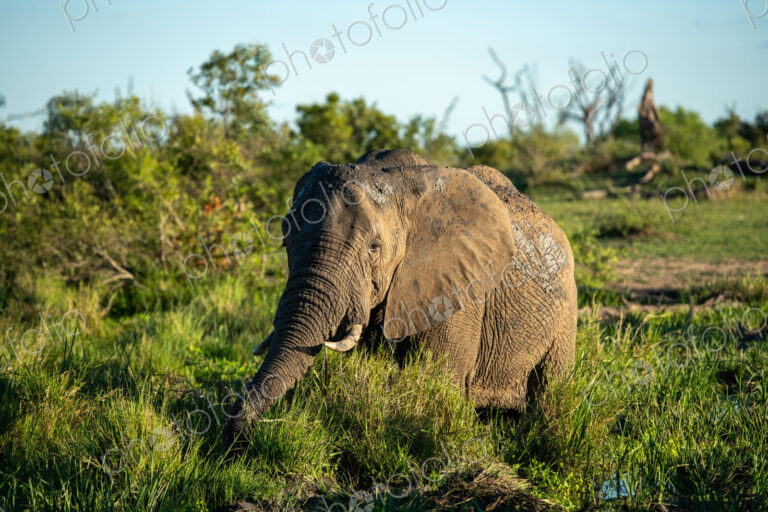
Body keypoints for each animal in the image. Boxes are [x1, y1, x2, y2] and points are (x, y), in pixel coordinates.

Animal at [225, 149, 577, 440]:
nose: (237, 438)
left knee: (551, 386)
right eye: (286, 241)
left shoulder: (458, 291)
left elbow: (437, 379)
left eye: (373, 247)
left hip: (567, 308)